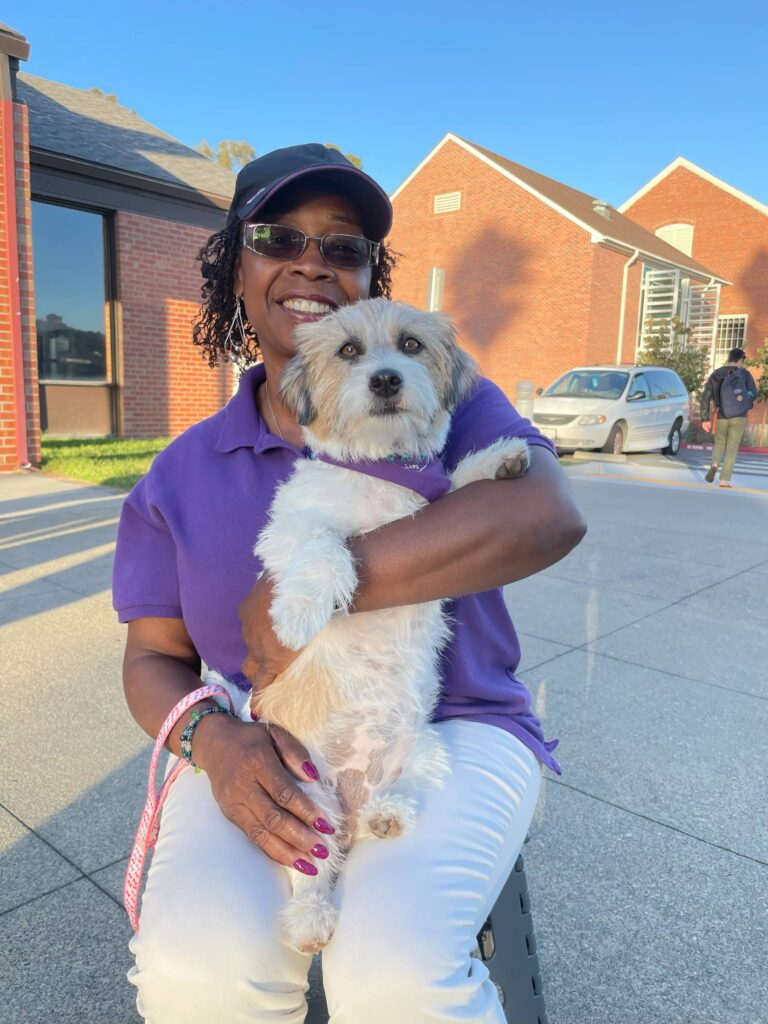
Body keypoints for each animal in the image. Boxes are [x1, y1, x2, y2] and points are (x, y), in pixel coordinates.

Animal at [246, 296, 528, 950]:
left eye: (411, 346)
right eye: (349, 350)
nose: (385, 380)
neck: (380, 471)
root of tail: (349, 807)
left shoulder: (438, 504)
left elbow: (459, 480)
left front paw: (499, 460)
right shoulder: (291, 527)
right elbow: (326, 549)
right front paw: (297, 615)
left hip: (423, 750)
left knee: (397, 799)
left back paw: (387, 815)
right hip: (303, 796)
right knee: (312, 872)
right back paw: (310, 920)